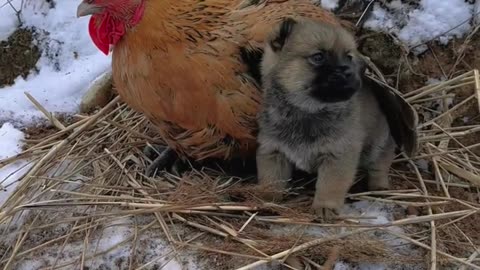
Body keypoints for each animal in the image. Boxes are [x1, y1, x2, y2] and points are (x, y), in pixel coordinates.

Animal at [255, 17, 416, 217]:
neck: (307, 111)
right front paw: (267, 200)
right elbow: (271, 181)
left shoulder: (338, 155)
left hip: (378, 143)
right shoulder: (273, 152)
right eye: (318, 57)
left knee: (380, 163)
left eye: (348, 57)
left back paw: (379, 187)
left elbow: (330, 185)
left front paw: (325, 207)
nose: (348, 71)